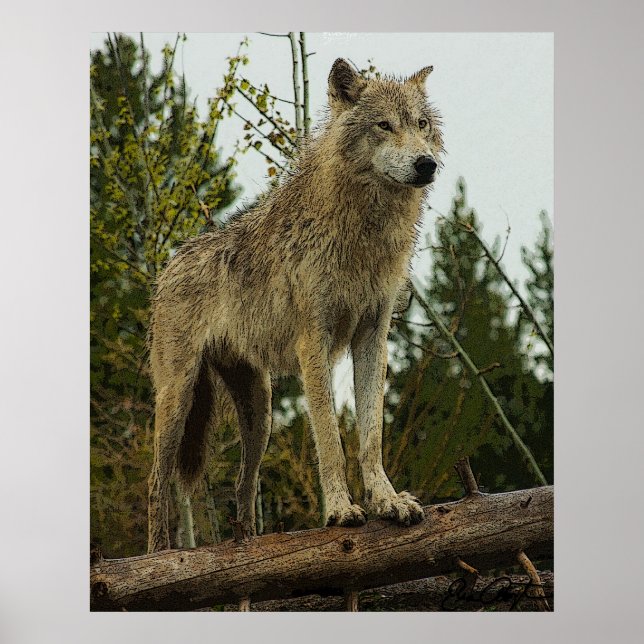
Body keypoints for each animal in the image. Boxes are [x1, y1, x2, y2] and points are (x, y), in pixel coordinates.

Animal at [147, 58, 444, 553]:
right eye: (384, 126)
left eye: (421, 125)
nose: (427, 164)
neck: (363, 232)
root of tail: (168, 266)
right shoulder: (313, 344)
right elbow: (330, 439)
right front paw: (342, 511)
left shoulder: (373, 337)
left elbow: (371, 437)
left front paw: (387, 502)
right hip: (178, 399)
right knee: (157, 484)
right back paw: (156, 556)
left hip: (260, 411)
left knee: (243, 486)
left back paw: (247, 548)